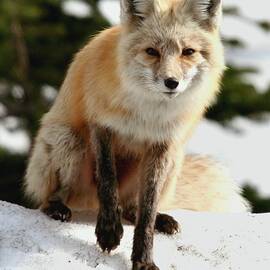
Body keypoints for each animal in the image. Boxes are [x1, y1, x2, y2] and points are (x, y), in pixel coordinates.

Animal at [24, 1, 248, 268]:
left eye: (188, 52)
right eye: (152, 51)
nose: (171, 82)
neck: (148, 115)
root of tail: (87, 203)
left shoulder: (162, 144)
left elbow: (147, 212)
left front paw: (143, 259)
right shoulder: (101, 125)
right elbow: (107, 182)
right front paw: (109, 231)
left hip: (174, 159)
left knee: (133, 208)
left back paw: (158, 219)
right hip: (68, 140)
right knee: (51, 196)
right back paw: (56, 207)